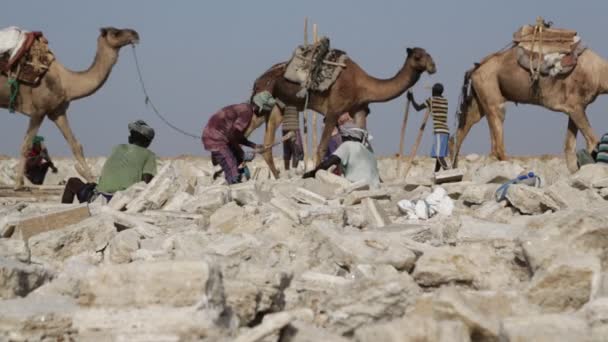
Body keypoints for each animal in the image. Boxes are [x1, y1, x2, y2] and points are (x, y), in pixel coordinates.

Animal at [0, 26, 139, 188]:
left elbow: (76, 145)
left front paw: (92, 181)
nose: (135, 34)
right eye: (115, 33)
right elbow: (26, 145)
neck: (66, 82)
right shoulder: (38, 111)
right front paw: (18, 185)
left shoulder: (57, 112)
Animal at [248, 46, 436, 178]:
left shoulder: (359, 110)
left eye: (428, 53)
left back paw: (277, 176)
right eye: (418, 56)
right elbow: (322, 148)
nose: (433, 66)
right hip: (263, 103)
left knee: (265, 144)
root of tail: (258, 79)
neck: (362, 85)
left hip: (277, 107)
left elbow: (366, 145)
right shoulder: (333, 111)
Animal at [448, 46, 604, 172]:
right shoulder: (575, 106)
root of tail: (474, 69)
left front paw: (575, 170)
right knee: (497, 120)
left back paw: (454, 166)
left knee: (467, 124)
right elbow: (592, 140)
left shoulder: (576, 108)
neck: (597, 71)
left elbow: (570, 145)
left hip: (480, 95)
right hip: (490, 89)